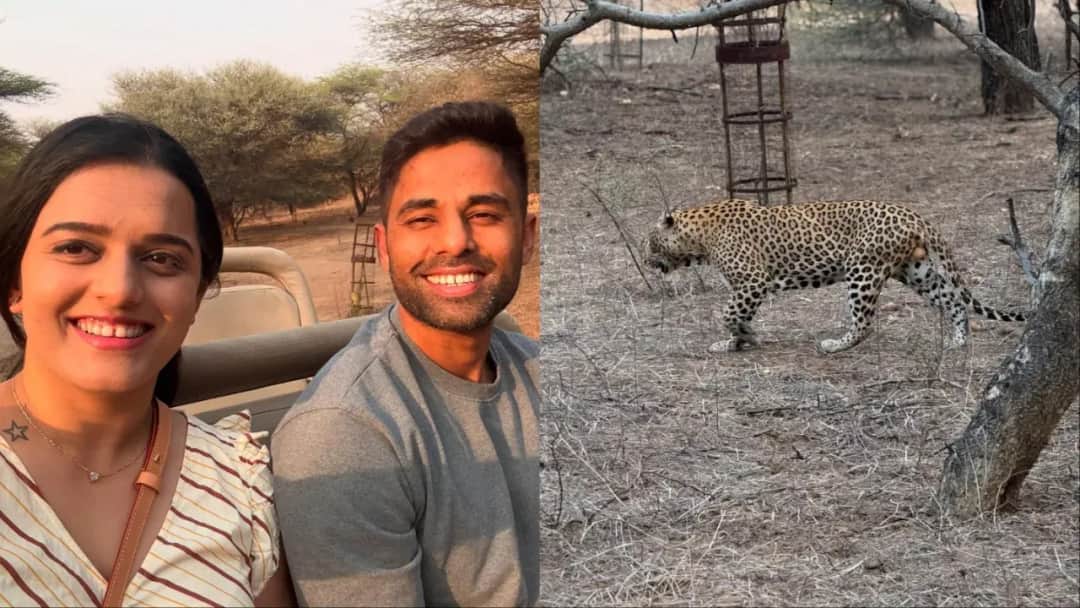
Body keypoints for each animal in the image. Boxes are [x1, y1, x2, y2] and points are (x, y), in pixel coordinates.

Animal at [642, 199, 1026, 354]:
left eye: (649, 241)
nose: (645, 261)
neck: (698, 238)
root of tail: (914, 214)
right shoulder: (745, 288)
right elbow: (739, 317)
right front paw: (737, 342)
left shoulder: (752, 281)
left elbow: (728, 313)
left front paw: (742, 337)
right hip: (916, 270)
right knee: (954, 301)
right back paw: (959, 341)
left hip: (863, 270)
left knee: (864, 322)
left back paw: (836, 344)